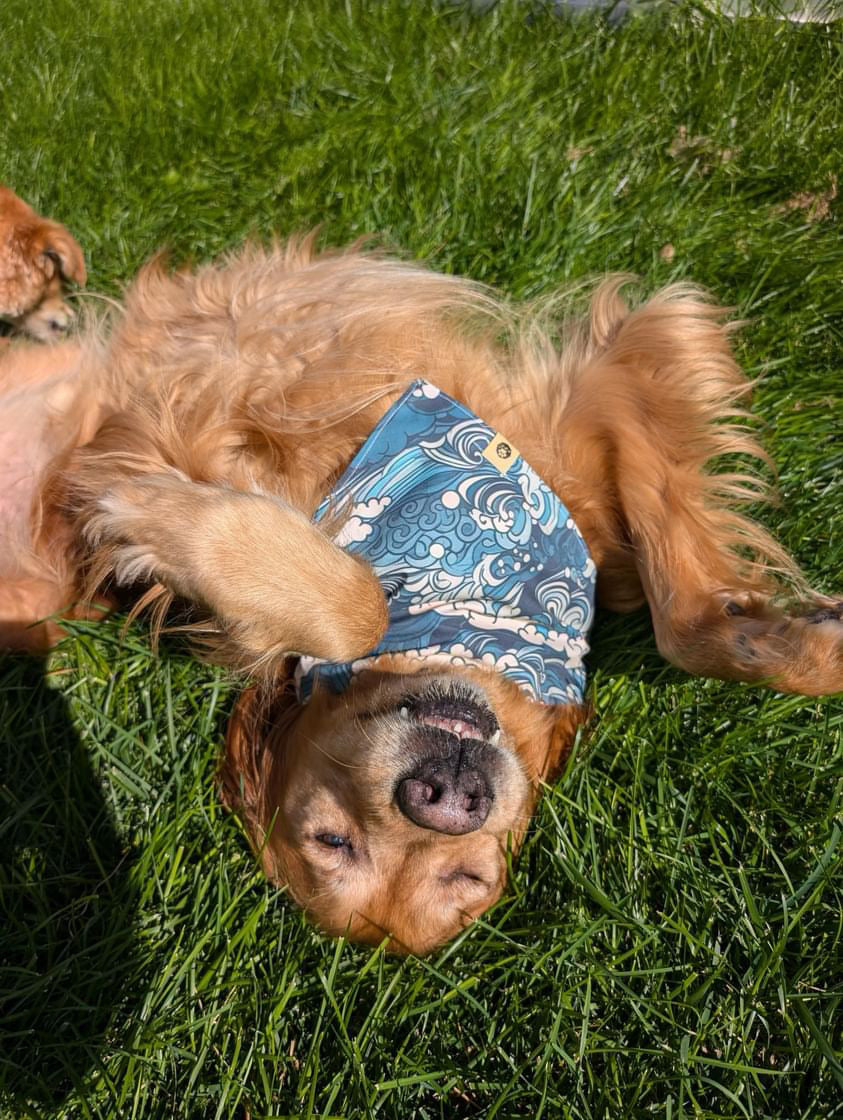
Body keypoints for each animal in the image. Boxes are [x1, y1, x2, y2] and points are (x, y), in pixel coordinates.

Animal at [1, 229, 841, 954]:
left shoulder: (604, 394)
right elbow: (353, 604)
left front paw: (790, 634)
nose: (443, 797)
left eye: (465, 876)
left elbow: (679, 615)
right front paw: (162, 519)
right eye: (332, 840)